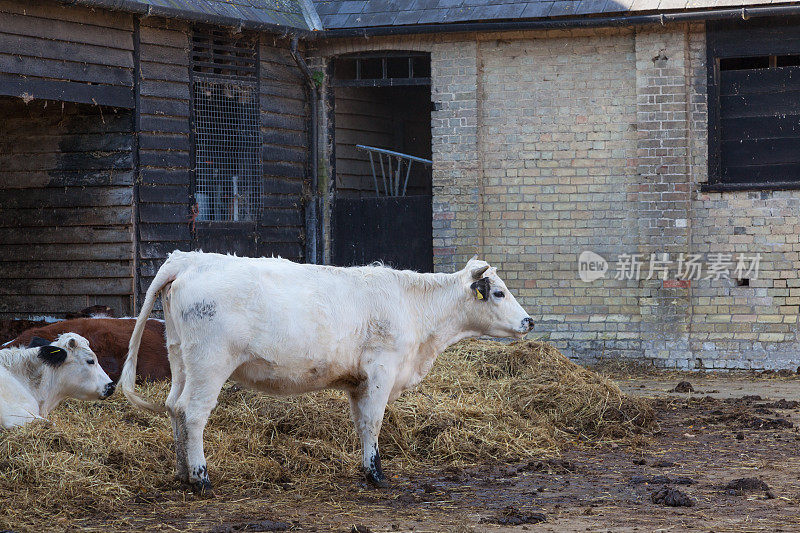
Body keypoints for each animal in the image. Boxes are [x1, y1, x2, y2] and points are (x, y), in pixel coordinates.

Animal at [122, 251, 536, 492]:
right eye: (498, 293)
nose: (529, 321)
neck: (413, 308)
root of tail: (188, 258)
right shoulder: (381, 371)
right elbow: (373, 422)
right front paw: (376, 475)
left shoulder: (358, 382)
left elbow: (361, 423)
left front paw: (368, 468)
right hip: (210, 363)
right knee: (193, 413)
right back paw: (201, 477)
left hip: (180, 358)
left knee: (174, 407)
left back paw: (181, 474)